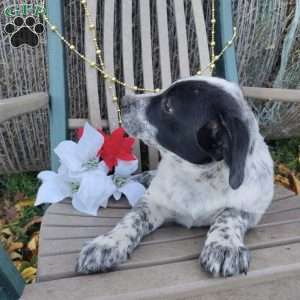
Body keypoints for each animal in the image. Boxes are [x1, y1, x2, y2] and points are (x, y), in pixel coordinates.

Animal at [76, 77, 274, 276]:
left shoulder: (250, 209)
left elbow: (229, 216)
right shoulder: (151, 202)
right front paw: (107, 243)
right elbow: (132, 219)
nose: (124, 100)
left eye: (168, 106)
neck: (195, 177)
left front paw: (224, 244)